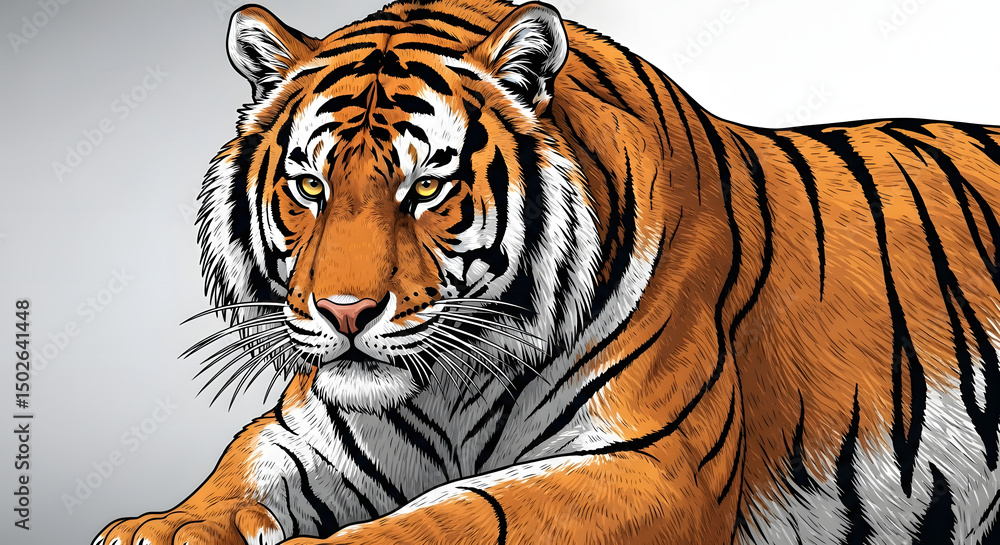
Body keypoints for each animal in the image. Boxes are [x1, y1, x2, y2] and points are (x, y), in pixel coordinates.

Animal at [94, 0, 1000, 544]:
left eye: (426, 188)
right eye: (311, 187)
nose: (346, 312)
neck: (451, 382)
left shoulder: (652, 464)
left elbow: (464, 513)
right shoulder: (312, 431)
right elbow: (242, 462)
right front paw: (161, 527)